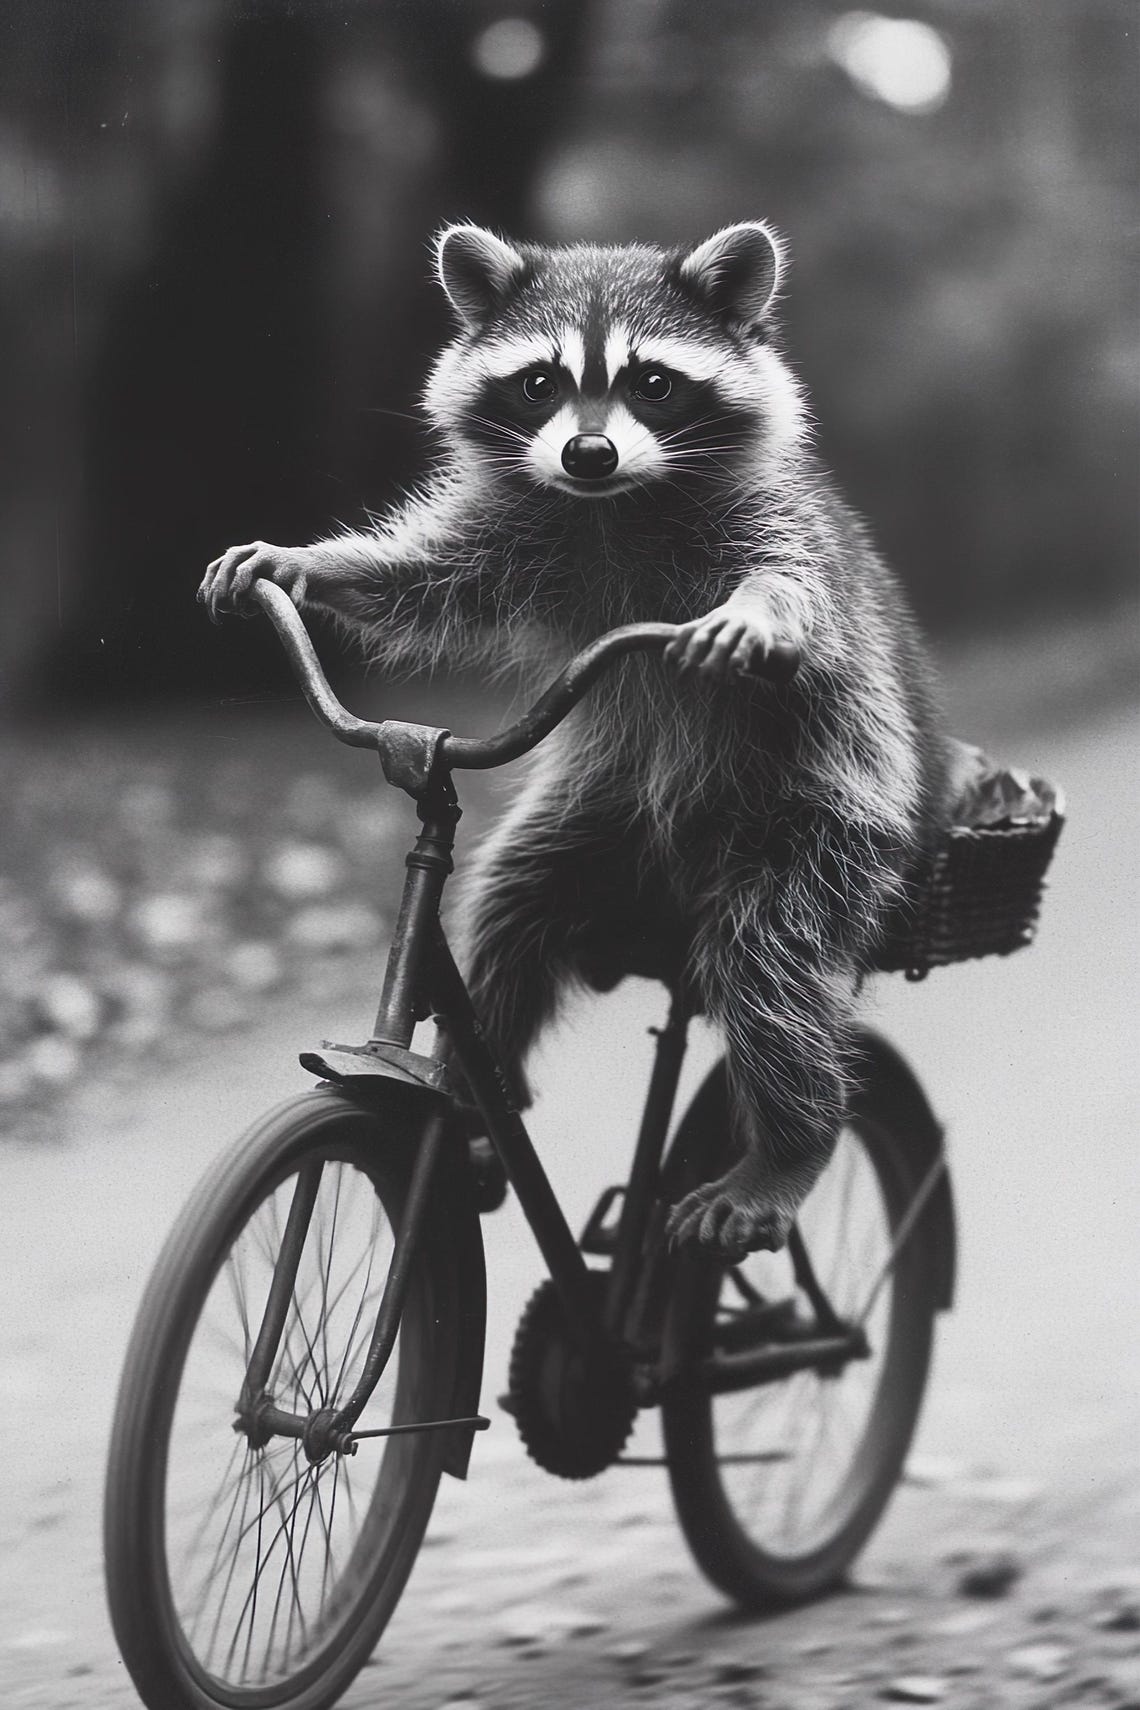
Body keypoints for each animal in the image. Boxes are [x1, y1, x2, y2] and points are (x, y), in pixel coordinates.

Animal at [200, 221, 952, 1260]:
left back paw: (787, 1148)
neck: (615, 502)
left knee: (772, 974)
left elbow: (792, 588)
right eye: (538, 384)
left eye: (654, 383)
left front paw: (761, 613)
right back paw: (482, 1088)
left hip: (824, 829)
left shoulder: (780, 528)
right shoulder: (518, 525)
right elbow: (429, 582)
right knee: (511, 911)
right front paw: (310, 563)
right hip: (600, 816)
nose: (588, 452)